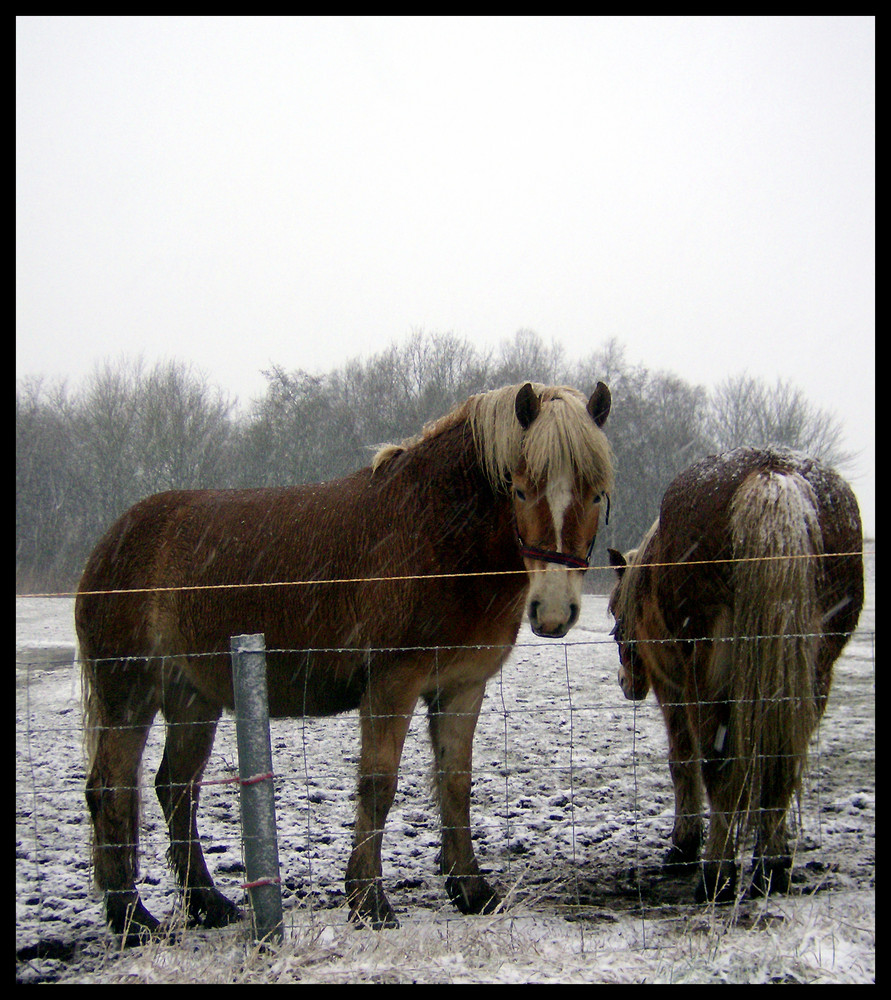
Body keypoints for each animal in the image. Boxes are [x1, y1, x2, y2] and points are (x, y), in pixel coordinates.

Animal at [78, 378, 612, 940]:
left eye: (597, 493)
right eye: (520, 489)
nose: (553, 611)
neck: (437, 539)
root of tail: (111, 541)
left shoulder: (462, 688)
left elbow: (455, 781)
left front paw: (470, 889)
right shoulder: (391, 685)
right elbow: (378, 786)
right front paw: (368, 902)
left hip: (192, 699)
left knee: (176, 787)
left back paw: (206, 902)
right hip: (128, 695)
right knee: (111, 789)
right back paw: (131, 919)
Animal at [608, 450, 864, 904]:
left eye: (616, 625)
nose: (627, 685)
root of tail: (773, 474)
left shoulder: (672, 689)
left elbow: (683, 763)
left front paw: (683, 847)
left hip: (710, 677)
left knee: (719, 767)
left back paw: (716, 876)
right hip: (814, 673)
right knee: (782, 764)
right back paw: (771, 870)